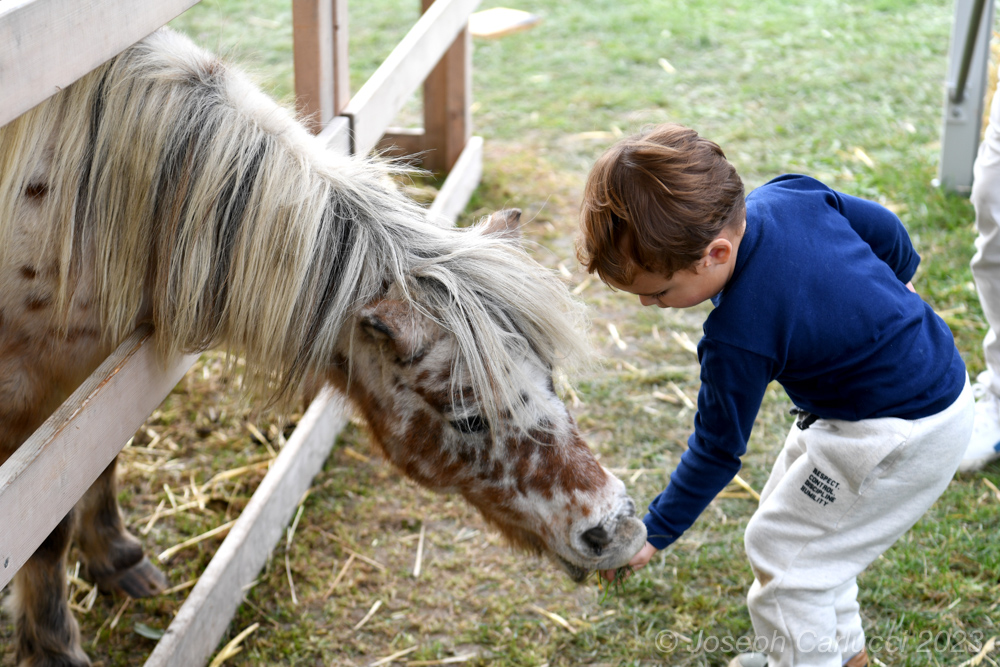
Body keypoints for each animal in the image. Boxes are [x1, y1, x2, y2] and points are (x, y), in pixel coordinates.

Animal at [0, 28, 647, 666]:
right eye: (468, 418)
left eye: (551, 376)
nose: (617, 530)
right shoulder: (27, 396)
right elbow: (44, 529)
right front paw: (53, 647)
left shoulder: (95, 383)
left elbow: (99, 466)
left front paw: (116, 558)